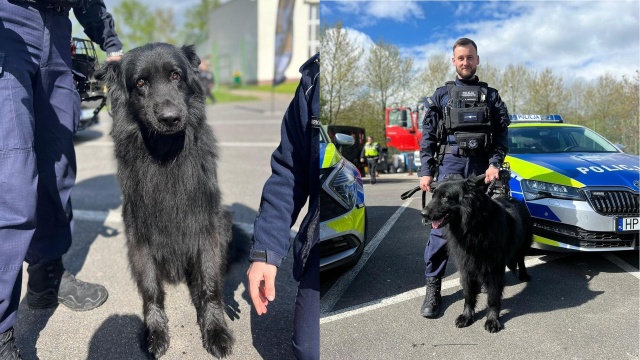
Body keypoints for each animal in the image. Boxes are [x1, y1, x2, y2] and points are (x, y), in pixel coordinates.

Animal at [96, 43, 231, 358]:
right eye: (140, 83)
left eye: (175, 76)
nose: (170, 118)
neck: (166, 152)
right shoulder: (139, 235)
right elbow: (151, 289)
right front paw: (155, 333)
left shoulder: (207, 226)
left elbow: (209, 282)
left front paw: (215, 330)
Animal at [422, 176, 532, 334]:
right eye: (433, 196)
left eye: (444, 197)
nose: (423, 214)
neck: (473, 227)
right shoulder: (466, 267)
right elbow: (469, 295)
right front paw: (466, 316)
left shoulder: (494, 269)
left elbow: (493, 298)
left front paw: (492, 320)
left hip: (524, 243)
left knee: (521, 258)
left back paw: (523, 275)